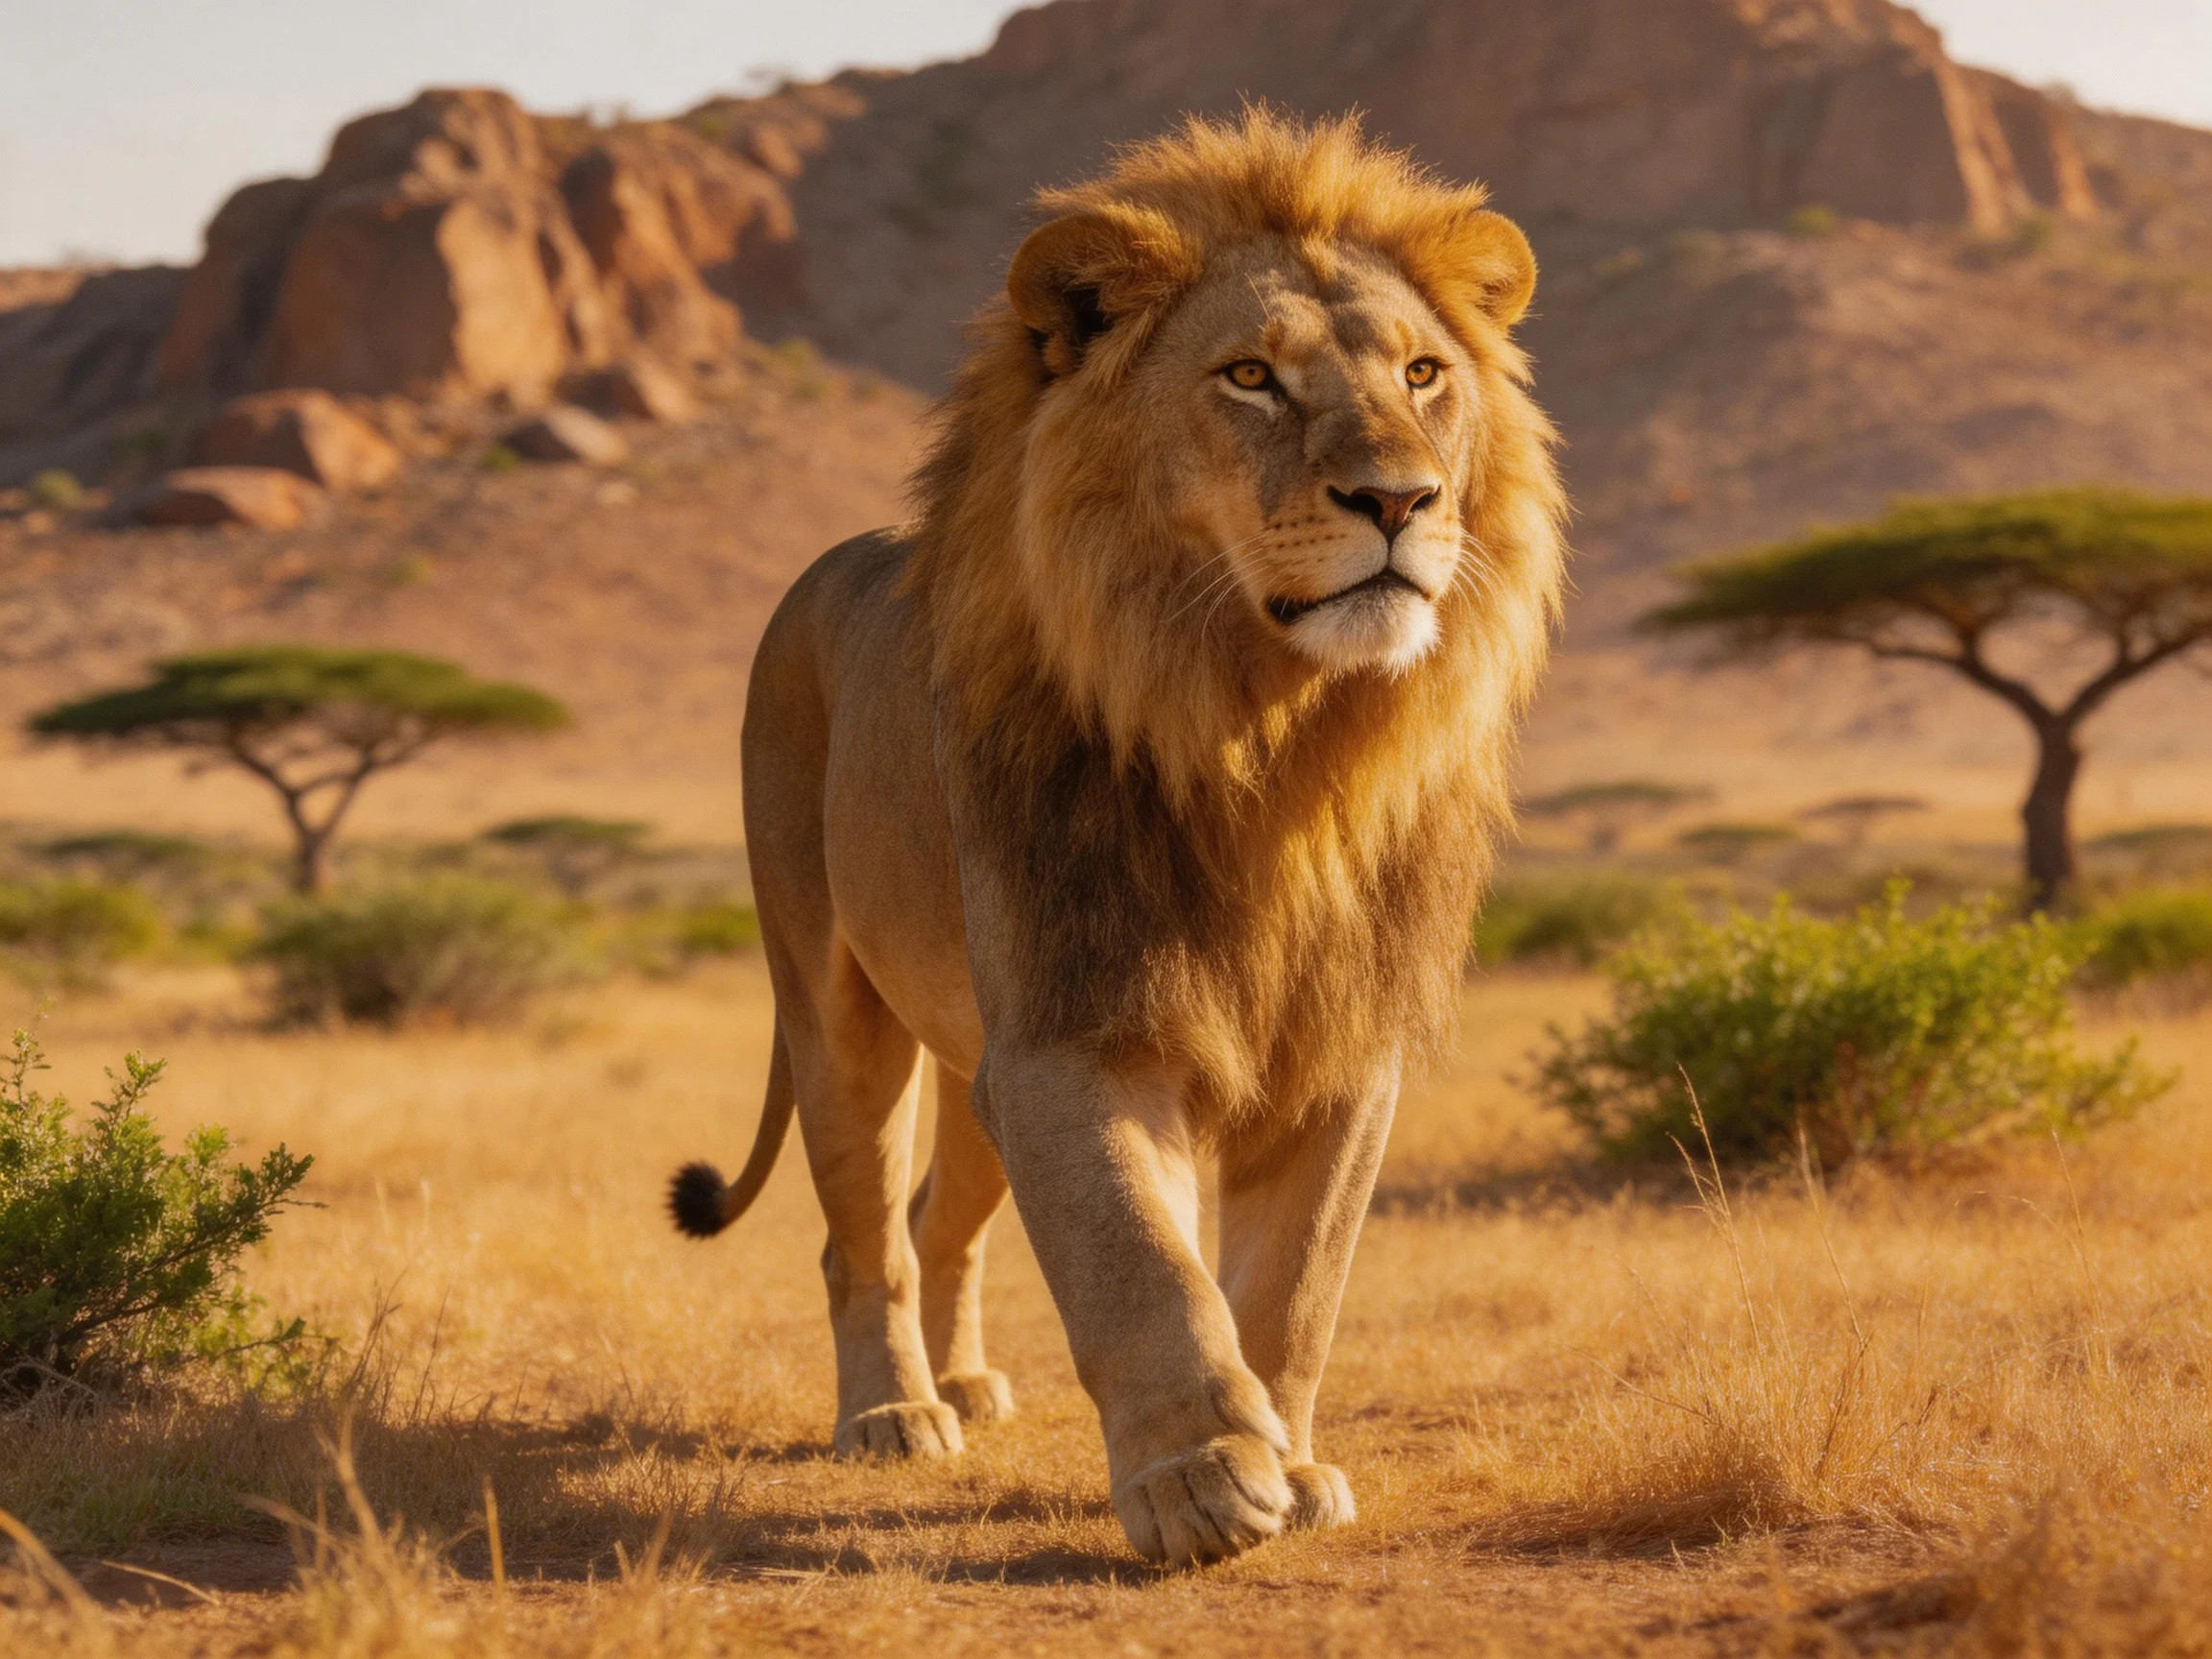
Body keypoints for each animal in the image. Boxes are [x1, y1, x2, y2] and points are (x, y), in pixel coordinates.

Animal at [669, 109, 1566, 1568]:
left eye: (1424, 373)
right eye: (1251, 377)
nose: (1401, 500)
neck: (1271, 738)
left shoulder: (1338, 1050)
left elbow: (1293, 1289)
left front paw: (1290, 1462)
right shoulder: (1071, 1031)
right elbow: (1140, 1260)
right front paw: (1198, 1480)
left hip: (969, 1056)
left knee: (944, 1215)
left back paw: (971, 1381)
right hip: (835, 1002)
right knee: (866, 1229)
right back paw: (896, 1413)